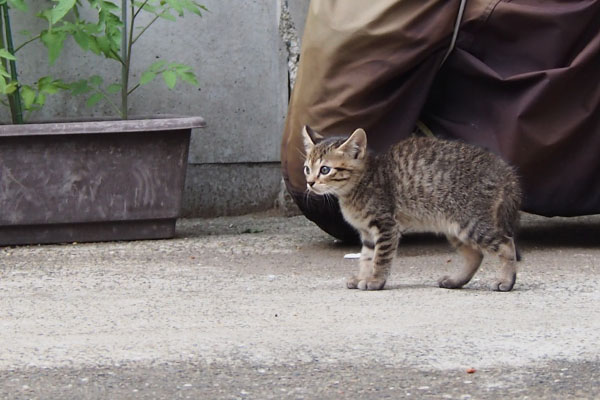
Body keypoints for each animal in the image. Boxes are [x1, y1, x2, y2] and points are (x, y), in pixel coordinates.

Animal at [304, 125, 520, 290]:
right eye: (307, 168)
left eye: (325, 169)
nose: (310, 182)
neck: (361, 182)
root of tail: (505, 171)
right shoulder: (367, 232)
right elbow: (366, 257)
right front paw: (363, 277)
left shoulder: (386, 225)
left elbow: (380, 257)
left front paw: (375, 280)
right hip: (453, 226)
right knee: (475, 255)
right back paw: (455, 281)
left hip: (471, 221)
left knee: (506, 243)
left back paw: (506, 281)